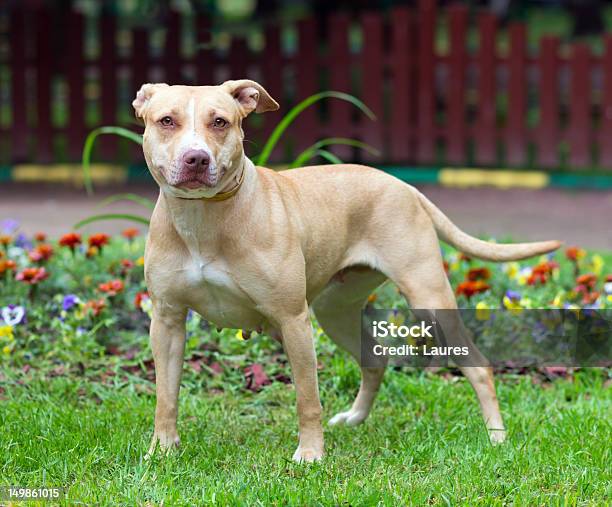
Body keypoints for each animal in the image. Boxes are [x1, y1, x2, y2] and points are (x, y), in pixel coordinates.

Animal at [133, 80, 560, 464]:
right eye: (166, 120)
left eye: (220, 122)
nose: (196, 158)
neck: (203, 220)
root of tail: (402, 184)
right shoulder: (167, 322)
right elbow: (165, 397)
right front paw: (161, 451)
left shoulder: (293, 321)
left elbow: (307, 398)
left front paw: (310, 454)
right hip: (336, 311)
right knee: (374, 359)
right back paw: (356, 418)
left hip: (430, 299)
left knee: (479, 366)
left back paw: (497, 436)